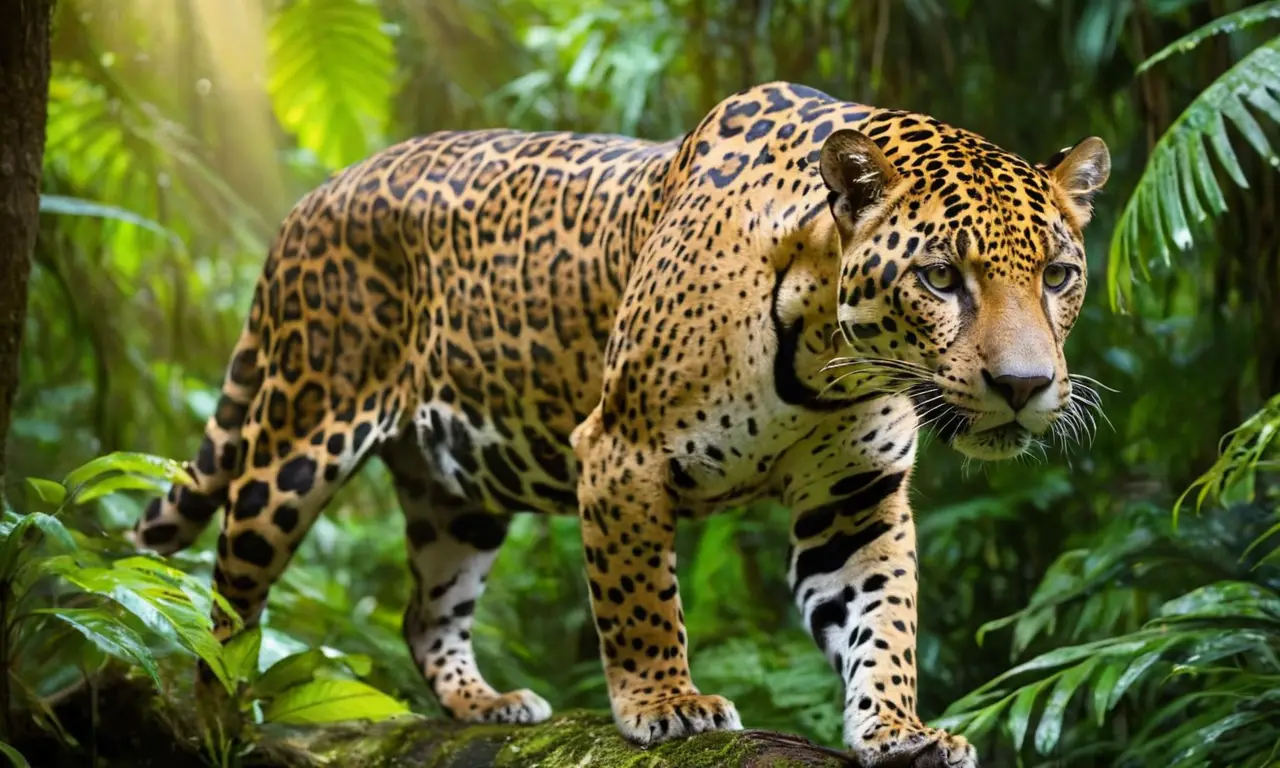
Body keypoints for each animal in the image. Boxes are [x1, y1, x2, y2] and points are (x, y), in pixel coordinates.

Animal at [132, 81, 1109, 766]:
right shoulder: (620, 454)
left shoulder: (855, 498)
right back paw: (220, 715)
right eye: (941, 278)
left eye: (1058, 276)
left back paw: (486, 706)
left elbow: (884, 617)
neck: (829, 356)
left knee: (424, 610)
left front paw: (900, 727)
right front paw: (667, 704)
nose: (1024, 384)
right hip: (297, 439)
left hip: (458, 491)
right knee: (227, 598)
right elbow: (640, 599)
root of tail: (315, 194)